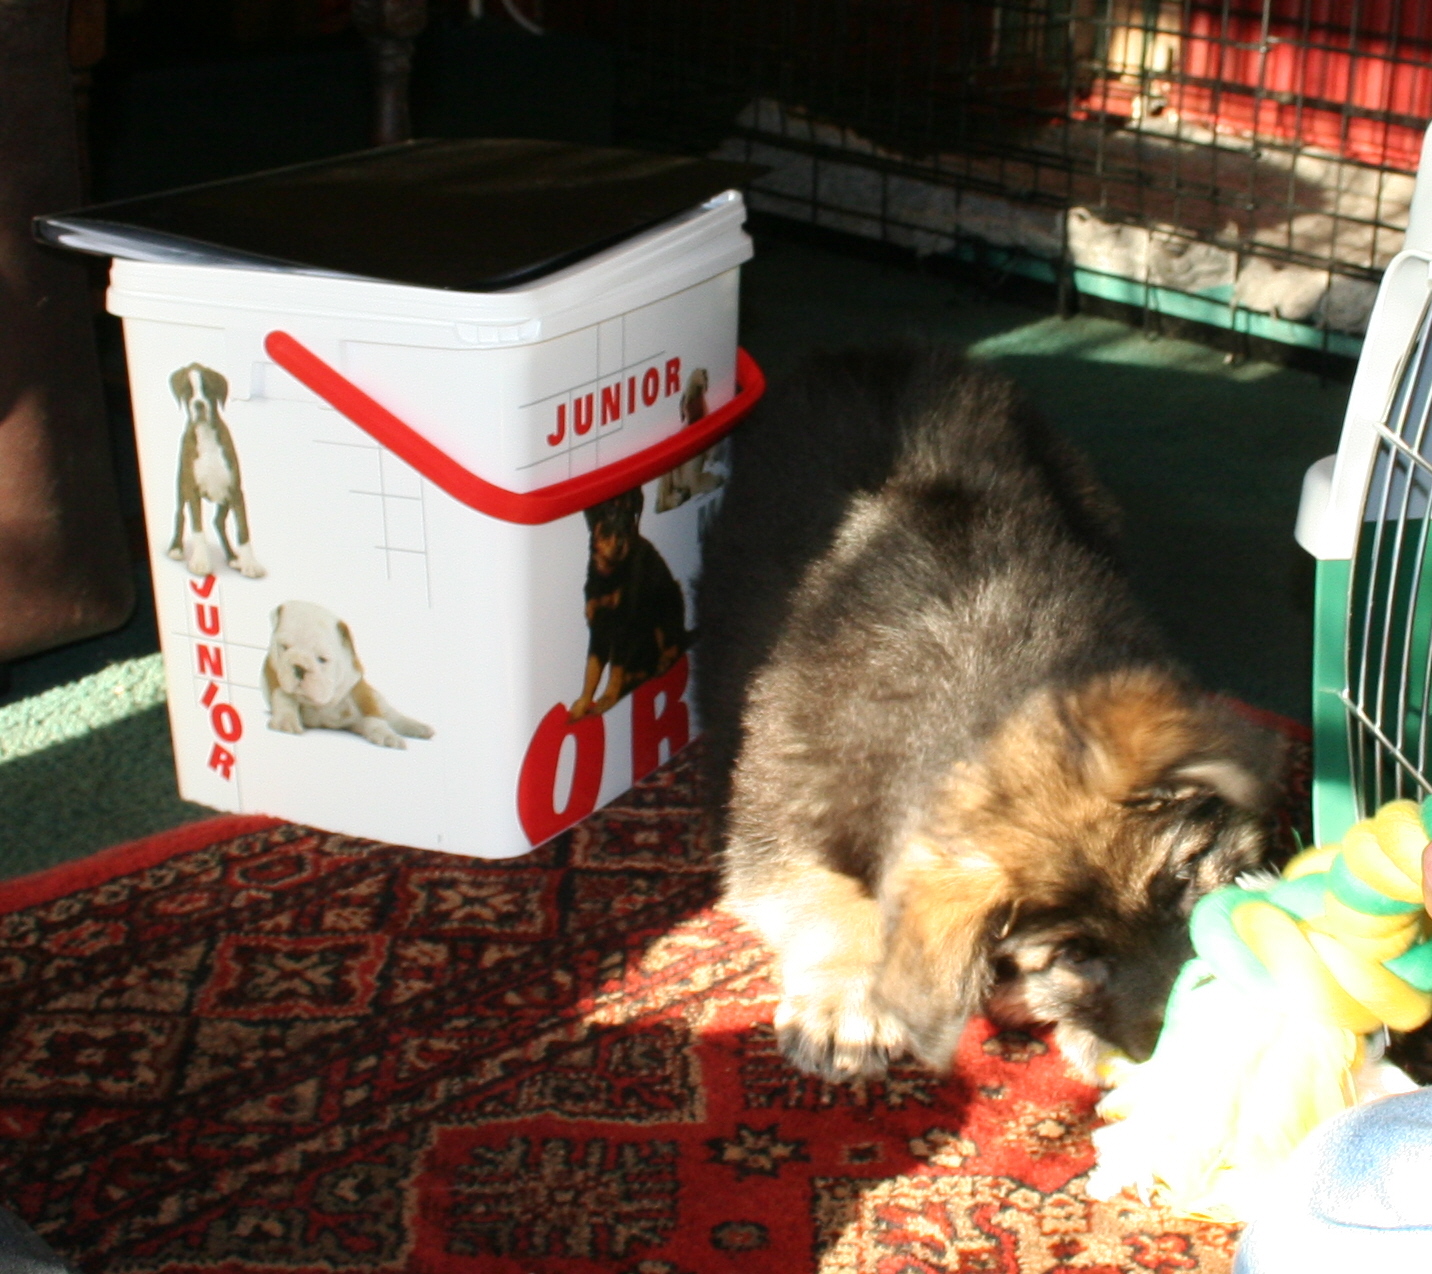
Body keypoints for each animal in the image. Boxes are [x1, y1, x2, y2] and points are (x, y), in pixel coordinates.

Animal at [263, 604, 429, 744]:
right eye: (284, 647)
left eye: (322, 659)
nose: (299, 667)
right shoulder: (275, 673)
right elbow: (284, 697)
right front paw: (286, 721)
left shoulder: (360, 690)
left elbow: (373, 715)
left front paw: (386, 735)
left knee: (392, 716)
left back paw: (419, 728)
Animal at [698, 344, 1283, 1082]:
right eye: (1073, 957)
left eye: (1181, 883)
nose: (1193, 1048)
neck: (992, 685)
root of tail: (876, 353)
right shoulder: (776, 800)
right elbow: (817, 887)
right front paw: (847, 997)